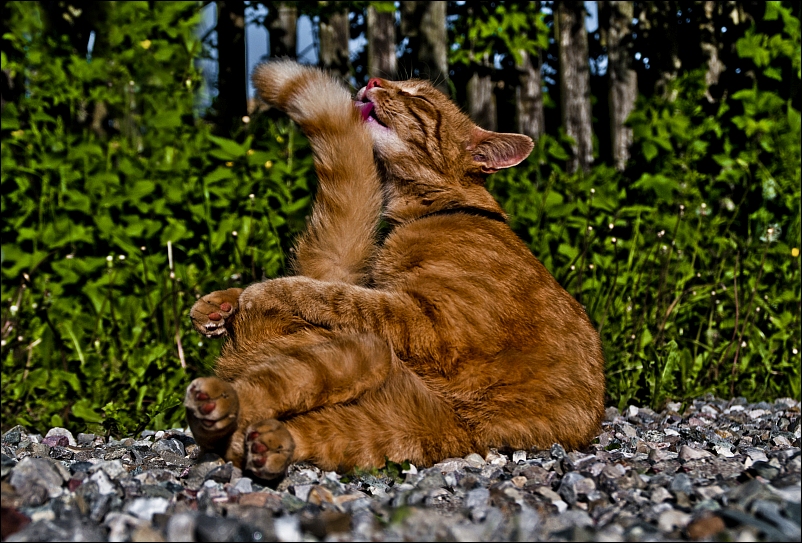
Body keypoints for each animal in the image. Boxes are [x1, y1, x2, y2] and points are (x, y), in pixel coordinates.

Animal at [186, 60, 600, 480]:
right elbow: (336, 285)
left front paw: (265, 290)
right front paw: (219, 305)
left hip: (371, 370)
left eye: (419, 97)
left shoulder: (429, 325)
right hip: (371, 403)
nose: (373, 80)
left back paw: (226, 410)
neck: (443, 210)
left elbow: (332, 294)